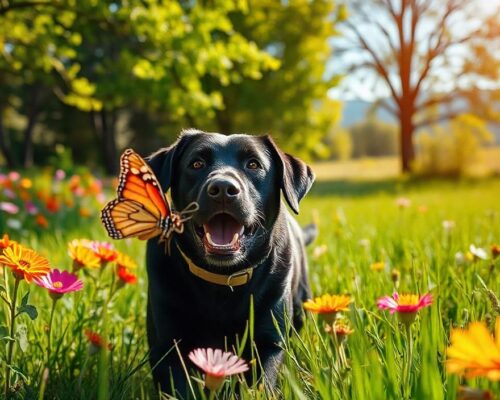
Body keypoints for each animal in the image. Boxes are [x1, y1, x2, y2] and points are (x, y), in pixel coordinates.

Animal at [146, 129, 314, 396]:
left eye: (253, 164)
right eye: (196, 163)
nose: (223, 188)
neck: (221, 279)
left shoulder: (269, 342)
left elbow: (263, 385)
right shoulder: (166, 347)